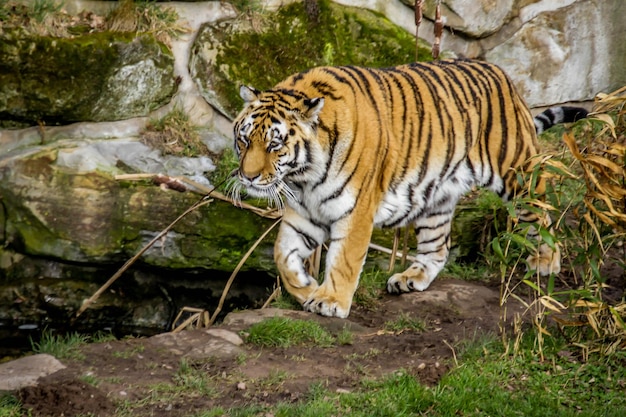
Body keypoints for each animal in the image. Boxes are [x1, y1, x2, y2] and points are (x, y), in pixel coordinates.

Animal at [229, 58, 584, 316]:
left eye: (274, 145)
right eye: (244, 140)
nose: (248, 177)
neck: (303, 177)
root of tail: (502, 74)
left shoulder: (356, 210)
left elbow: (345, 259)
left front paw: (331, 301)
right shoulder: (304, 213)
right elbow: (282, 255)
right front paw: (306, 288)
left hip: (517, 173)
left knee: (541, 212)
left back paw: (546, 263)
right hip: (438, 197)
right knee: (437, 247)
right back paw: (411, 279)